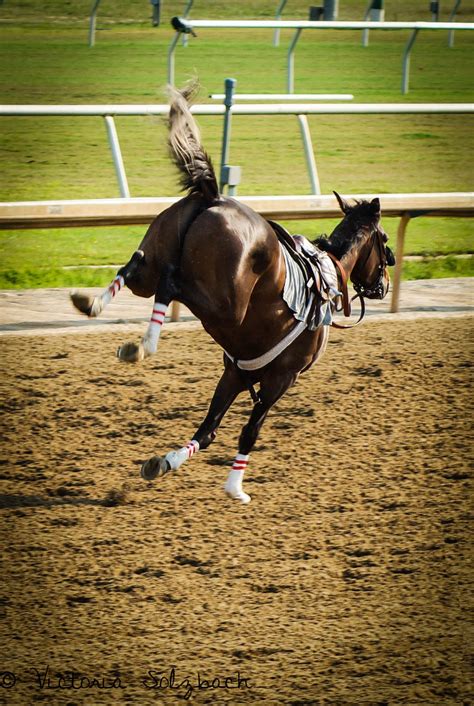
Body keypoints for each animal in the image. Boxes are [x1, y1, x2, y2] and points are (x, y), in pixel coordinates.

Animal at [71, 82, 392, 500]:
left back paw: (93, 303)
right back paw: (144, 345)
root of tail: (214, 196)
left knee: (135, 268)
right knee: (171, 284)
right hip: (224, 306)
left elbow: (208, 430)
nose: (383, 285)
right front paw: (235, 486)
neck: (327, 274)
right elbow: (249, 432)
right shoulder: (280, 378)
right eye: (385, 241)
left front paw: (166, 462)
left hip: (153, 265)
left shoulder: (236, 373)